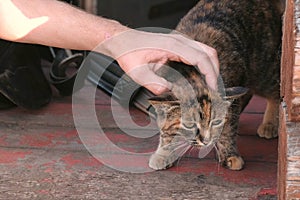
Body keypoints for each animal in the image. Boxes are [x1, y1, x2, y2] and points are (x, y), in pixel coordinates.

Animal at [148, 0, 282, 171]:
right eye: (190, 125)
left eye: (216, 122)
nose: (206, 141)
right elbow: (166, 130)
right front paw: (163, 153)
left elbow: (228, 128)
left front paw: (229, 155)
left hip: (263, 68)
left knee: (276, 90)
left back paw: (270, 124)